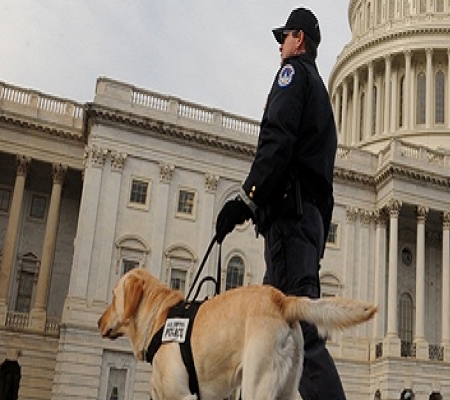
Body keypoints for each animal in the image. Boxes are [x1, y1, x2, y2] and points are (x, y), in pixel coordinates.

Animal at [98, 268, 376, 400]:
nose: (99, 321)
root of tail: (282, 299)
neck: (160, 317)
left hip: (257, 385)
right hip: (285, 388)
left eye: (113, 296)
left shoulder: (182, 395)